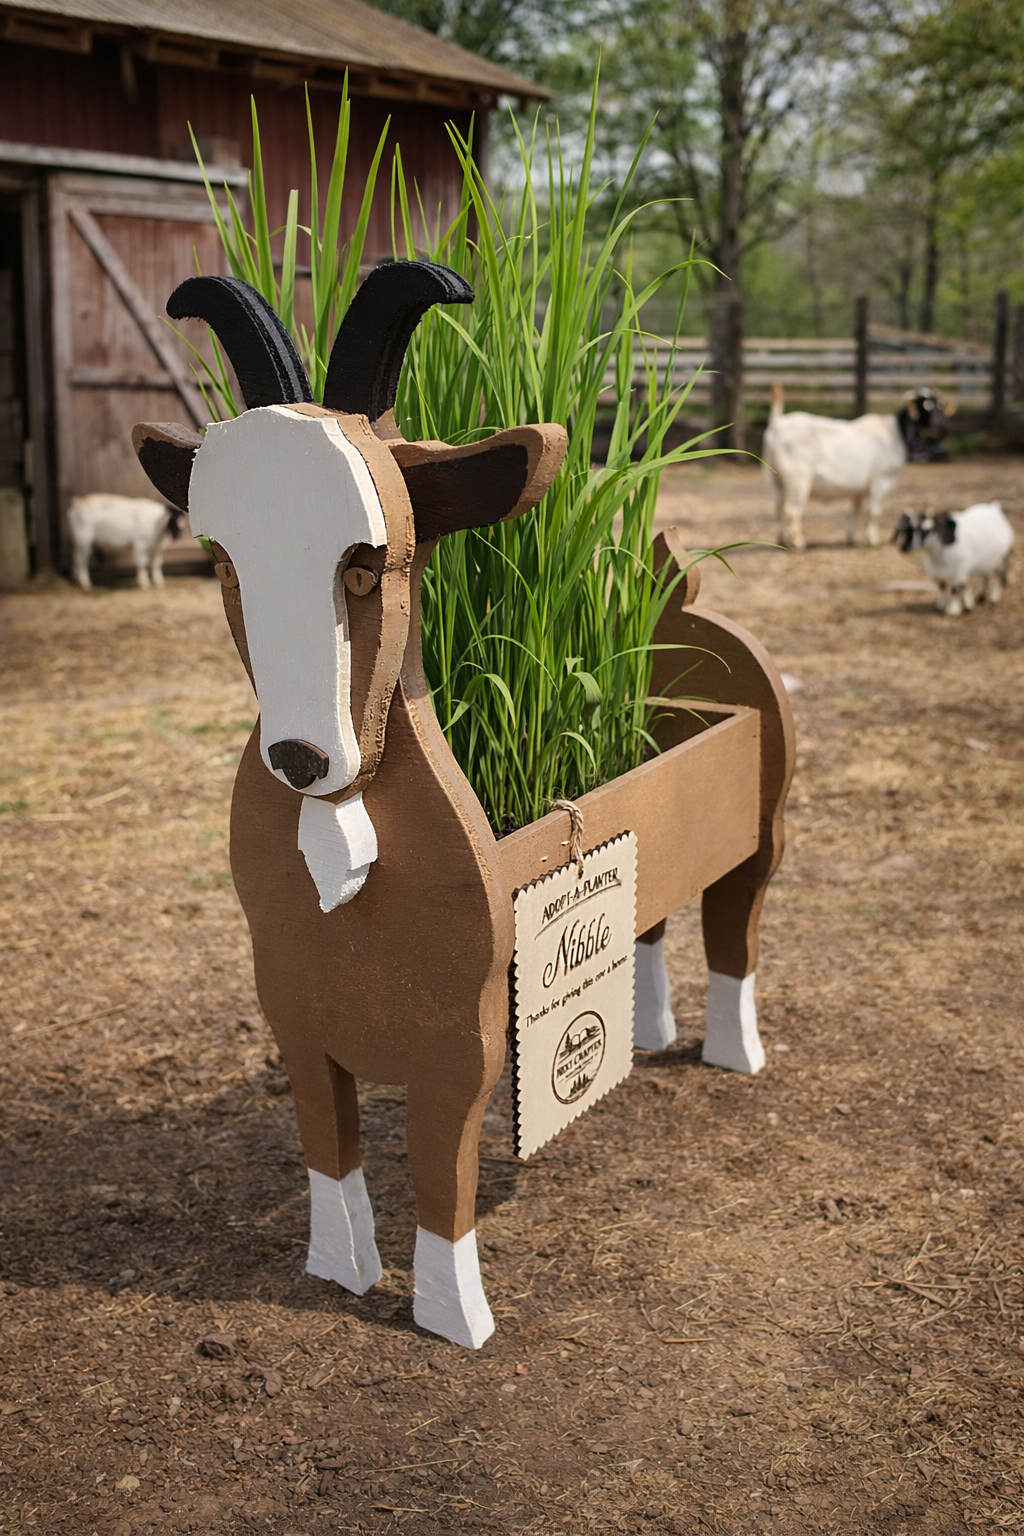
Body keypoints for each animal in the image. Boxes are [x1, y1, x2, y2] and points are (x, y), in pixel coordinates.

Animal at [763, 385, 950, 551]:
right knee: (791, 510)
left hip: (777, 480)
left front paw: (851, 539)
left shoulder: (859, 488)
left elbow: (855, 510)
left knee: (779, 508)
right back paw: (798, 543)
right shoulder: (881, 480)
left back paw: (782, 540)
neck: (896, 434)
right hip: (798, 479)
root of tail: (777, 424)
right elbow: (874, 512)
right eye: (926, 406)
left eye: (940, 406)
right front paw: (874, 541)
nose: (943, 428)